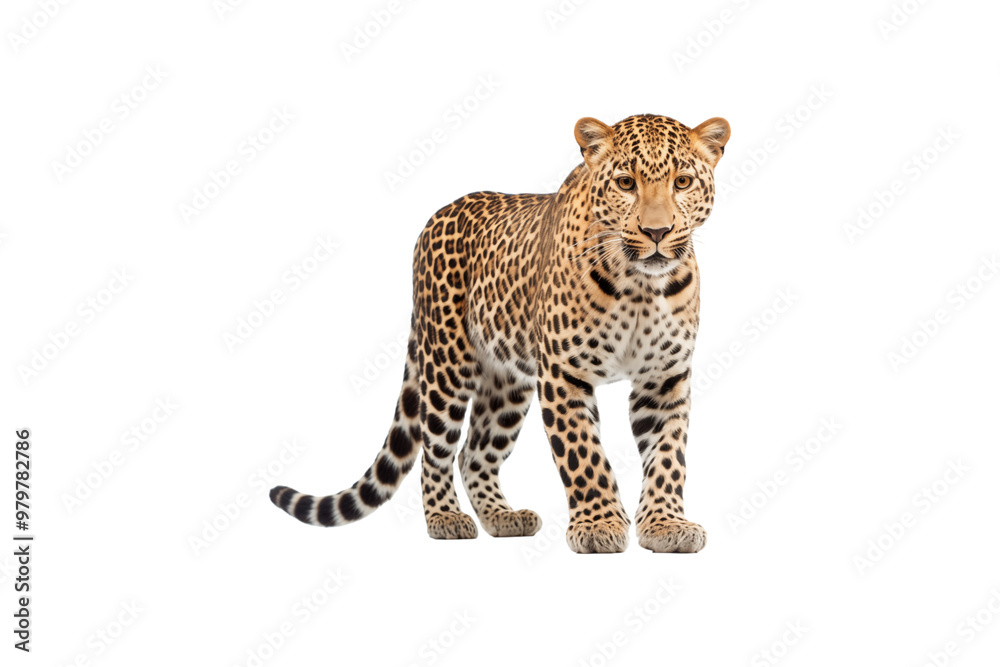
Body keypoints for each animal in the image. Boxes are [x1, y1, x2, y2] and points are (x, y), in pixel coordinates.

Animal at [270, 113, 731, 553]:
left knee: (474, 454)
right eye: (625, 183)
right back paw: (445, 518)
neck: (640, 286)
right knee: (436, 452)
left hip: (507, 383)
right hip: (446, 366)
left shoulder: (664, 378)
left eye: (682, 182)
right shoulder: (563, 374)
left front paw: (665, 525)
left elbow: (668, 457)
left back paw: (502, 517)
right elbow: (584, 455)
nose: (657, 232)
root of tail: (435, 217)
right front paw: (598, 525)